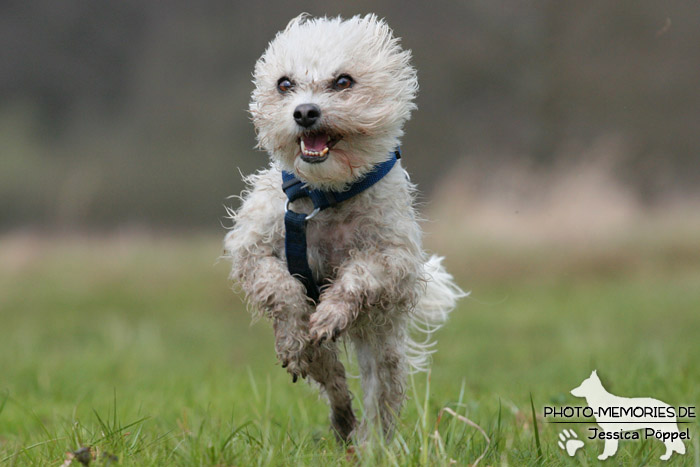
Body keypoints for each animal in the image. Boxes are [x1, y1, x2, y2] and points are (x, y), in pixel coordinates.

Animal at [224, 12, 464, 440]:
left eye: (343, 82)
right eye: (284, 83)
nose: (305, 112)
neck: (325, 196)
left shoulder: (392, 258)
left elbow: (359, 277)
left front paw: (333, 312)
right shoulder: (253, 249)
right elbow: (281, 288)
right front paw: (293, 332)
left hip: (382, 349)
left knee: (379, 398)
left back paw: (371, 444)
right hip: (326, 358)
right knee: (331, 376)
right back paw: (338, 415)